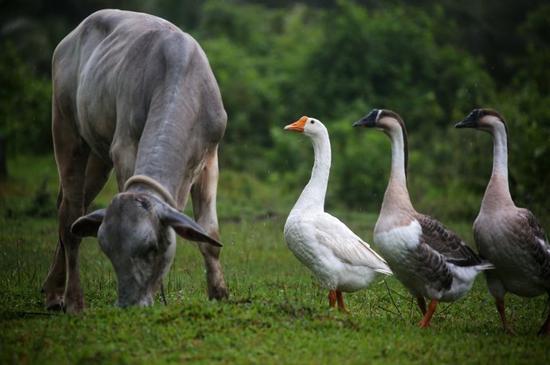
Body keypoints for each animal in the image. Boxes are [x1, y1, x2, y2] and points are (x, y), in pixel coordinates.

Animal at [41, 9, 229, 310]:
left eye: (151, 247)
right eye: (108, 251)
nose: (129, 304)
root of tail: (69, 38)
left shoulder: (210, 156)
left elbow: (210, 235)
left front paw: (219, 294)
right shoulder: (124, 147)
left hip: (98, 158)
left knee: (74, 210)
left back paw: (53, 288)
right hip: (65, 127)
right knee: (68, 217)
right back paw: (69, 299)